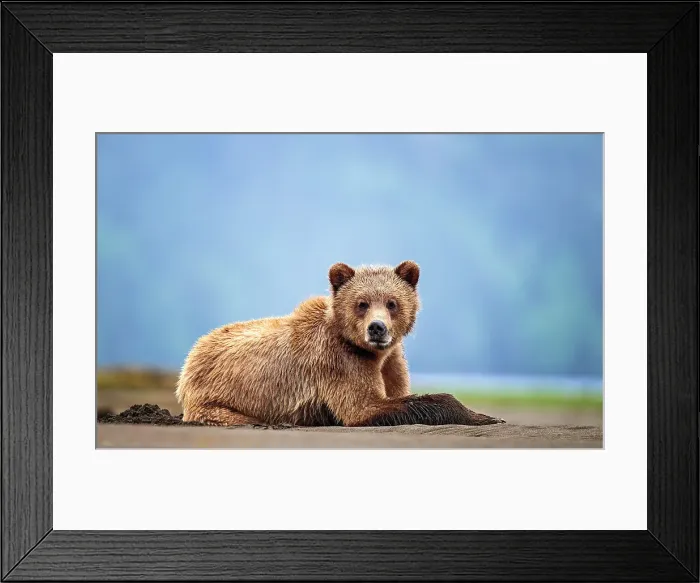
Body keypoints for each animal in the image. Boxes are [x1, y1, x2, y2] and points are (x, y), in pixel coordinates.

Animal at [175, 260, 505, 427]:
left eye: (392, 302)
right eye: (362, 303)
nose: (377, 328)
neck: (372, 353)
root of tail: (190, 358)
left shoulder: (392, 362)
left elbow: (396, 390)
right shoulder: (340, 362)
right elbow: (363, 407)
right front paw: (485, 416)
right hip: (215, 400)